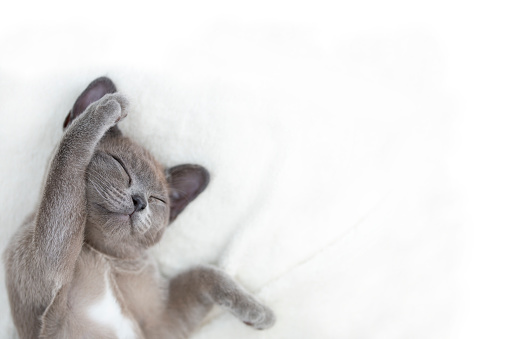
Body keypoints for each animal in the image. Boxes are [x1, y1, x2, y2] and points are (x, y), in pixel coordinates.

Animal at [2, 77, 274, 339]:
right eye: (119, 165)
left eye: (157, 200)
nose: (140, 201)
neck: (104, 257)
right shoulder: (46, 267)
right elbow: (65, 163)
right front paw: (109, 105)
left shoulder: (160, 323)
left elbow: (207, 272)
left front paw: (261, 313)